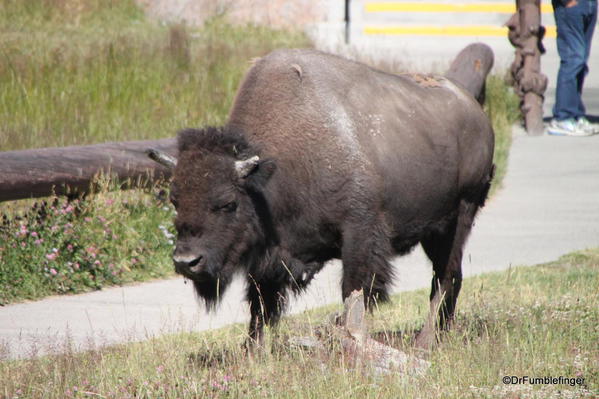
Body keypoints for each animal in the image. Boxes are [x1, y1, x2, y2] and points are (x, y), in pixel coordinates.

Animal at [152, 49, 494, 350]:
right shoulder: (270, 255)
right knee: (452, 277)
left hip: (459, 216)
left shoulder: (360, 233)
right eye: (175, 201)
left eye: (227, 203)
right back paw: (442, 334)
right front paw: (252, 352)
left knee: (444, 277)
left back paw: (425, 341)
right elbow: (260, 303)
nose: (186, 262)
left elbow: (354, 292)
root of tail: (477, 113)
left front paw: (354, 343)